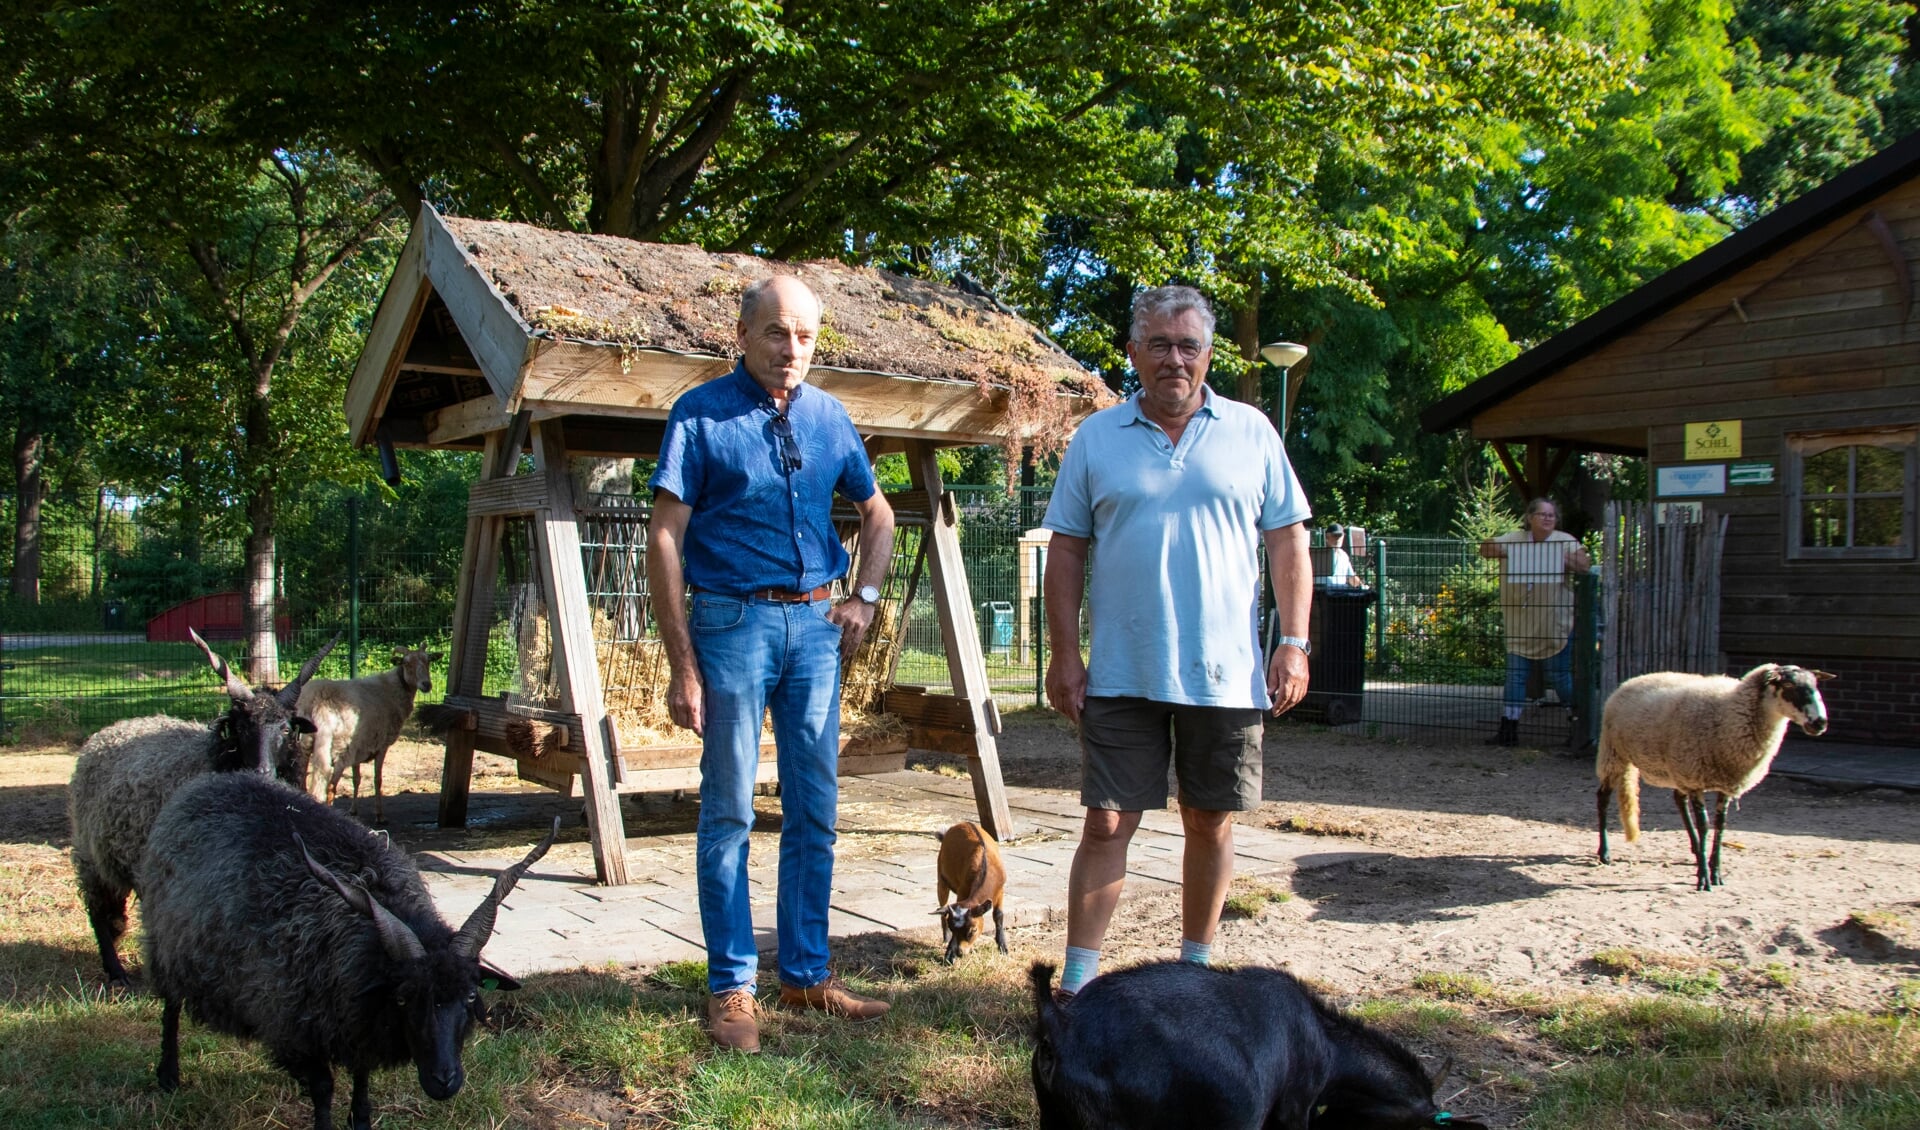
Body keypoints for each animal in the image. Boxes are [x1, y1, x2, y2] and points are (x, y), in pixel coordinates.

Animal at [133, 775, 556, 1128]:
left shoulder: (357, 1025)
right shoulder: (298, 1025)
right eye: (404, 998)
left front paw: (362, 1120)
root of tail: (209, 780)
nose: (444, 1081)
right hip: (165, 943)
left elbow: (362, 1081)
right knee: (170, 1008)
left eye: (470, 995)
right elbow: (323, 1090)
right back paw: (168, 1075)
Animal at [1589, 659, 1827, 890]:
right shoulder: (1695, 779)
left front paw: (1716, 872)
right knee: (1603, 798)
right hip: (1614, 755)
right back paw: (1605, 853)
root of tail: (1629, 682)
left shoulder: (1724, 784)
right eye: (1787, 686)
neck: (1729, 713)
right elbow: (1704, 825)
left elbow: (1720, 826)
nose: (1820, 722)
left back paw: (1695, 849)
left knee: (1679, 799)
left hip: (1675, 769)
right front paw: (1704, 878)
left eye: (1816, 686)